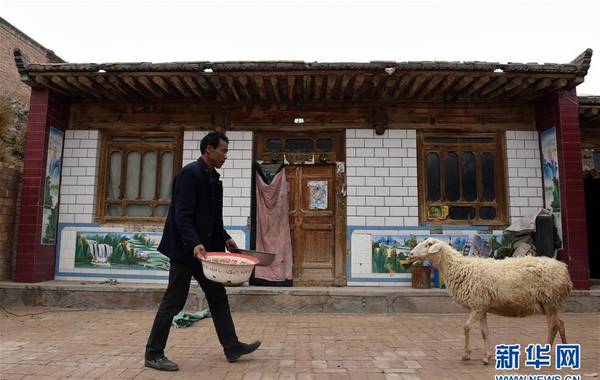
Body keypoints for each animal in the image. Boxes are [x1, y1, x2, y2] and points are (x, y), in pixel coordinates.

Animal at [408, 238, 572, 366]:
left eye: (429, 244)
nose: (410, 254)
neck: (459, 268)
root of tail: (564, 270)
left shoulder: (477, 305)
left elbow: (466, 327)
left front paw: (467, 355)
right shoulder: (482, 307)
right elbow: (484, 332)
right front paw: (486, 357)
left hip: (550, 301)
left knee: (553, 327)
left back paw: (546, 354)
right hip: (551, 304)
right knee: (561, 324)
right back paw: (566, 350)